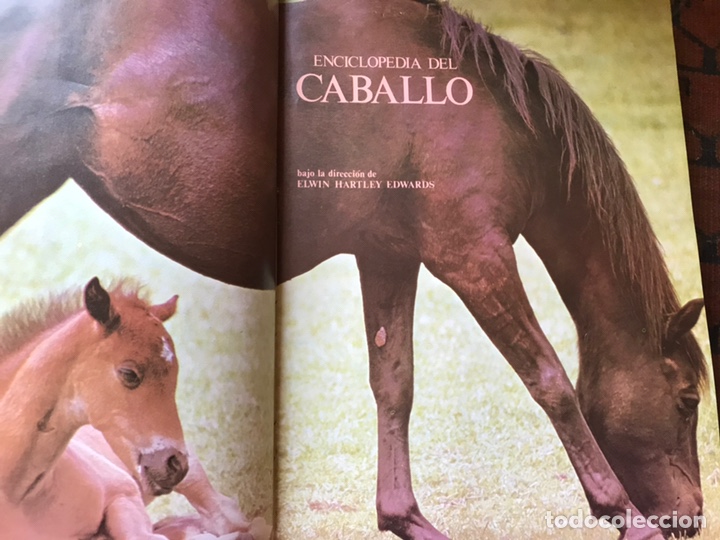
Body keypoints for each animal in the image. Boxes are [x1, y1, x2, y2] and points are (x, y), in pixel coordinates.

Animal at [0, 277, 259, 539]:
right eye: (129, 374)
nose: (175, 465)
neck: (22, 495)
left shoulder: (124, 491)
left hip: (192, 474)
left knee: (227, 516)